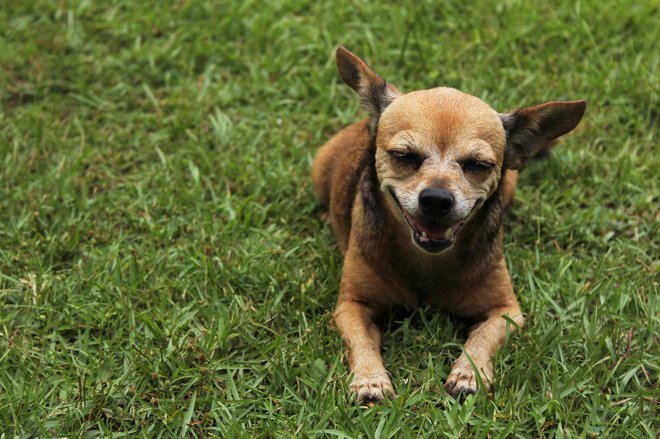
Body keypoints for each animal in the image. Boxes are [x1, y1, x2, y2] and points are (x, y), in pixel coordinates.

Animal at [314, 46, 588, 404]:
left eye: (478, 165)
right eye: (404, 156)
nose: (436, 199)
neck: (426, 262)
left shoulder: (506, 311)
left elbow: (482, 338)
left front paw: (469, 372)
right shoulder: (351, 307)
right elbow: (361, 342)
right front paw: (370, 379)